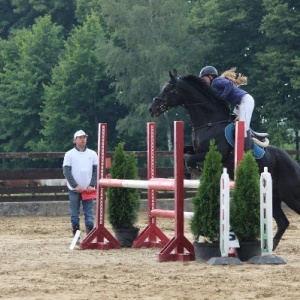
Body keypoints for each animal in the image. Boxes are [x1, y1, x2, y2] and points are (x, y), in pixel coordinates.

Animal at [149, 69, 300, 250]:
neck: (210, 122)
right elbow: (185, 154)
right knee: (283, 222)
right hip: (273, 197)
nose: (152, 109)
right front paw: (187, 173)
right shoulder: (196, 149)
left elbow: (190, 159)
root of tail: (293, 163)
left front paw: (197, 170)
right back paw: (269, 247)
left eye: (169, 89)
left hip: (290, 195)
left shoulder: (216, 153)